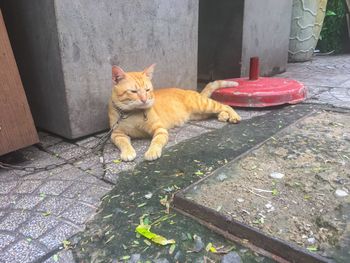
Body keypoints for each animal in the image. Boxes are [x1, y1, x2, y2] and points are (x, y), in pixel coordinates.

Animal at [108, 65, 241, 162]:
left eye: (147, 90)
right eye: (133, 91)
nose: (144, 99)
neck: (134, 113)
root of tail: (191, 92)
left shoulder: (160, 130)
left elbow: (156, 141)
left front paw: (152, 152)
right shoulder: (116, 134)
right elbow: (123, 143)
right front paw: (128, 152)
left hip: (203, 105)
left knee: (224, 105)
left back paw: (234, 116)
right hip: (199, 114)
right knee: (215, 112)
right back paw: (223, 115)